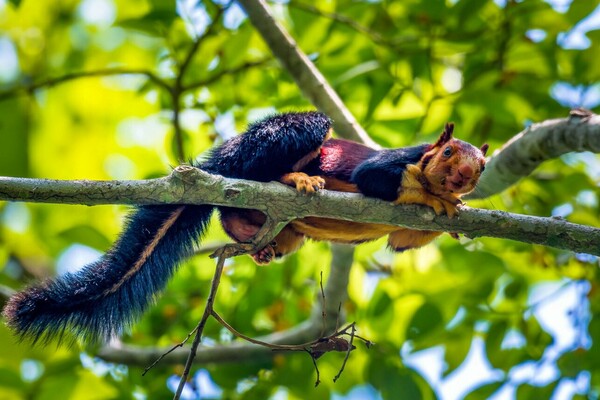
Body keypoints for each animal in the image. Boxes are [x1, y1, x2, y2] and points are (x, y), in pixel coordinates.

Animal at [3, 111, 488, 344]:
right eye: (448, 153)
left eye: (481, 166)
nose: (464, 177)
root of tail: (221, 162)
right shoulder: (394, 161)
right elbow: (382, 179)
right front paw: (433, 196)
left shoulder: (403, 233)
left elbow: (403, 240)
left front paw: (454, 207)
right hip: (278, 141)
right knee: (262, 167)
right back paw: (294, 179)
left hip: (277, 229)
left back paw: (262, 244)